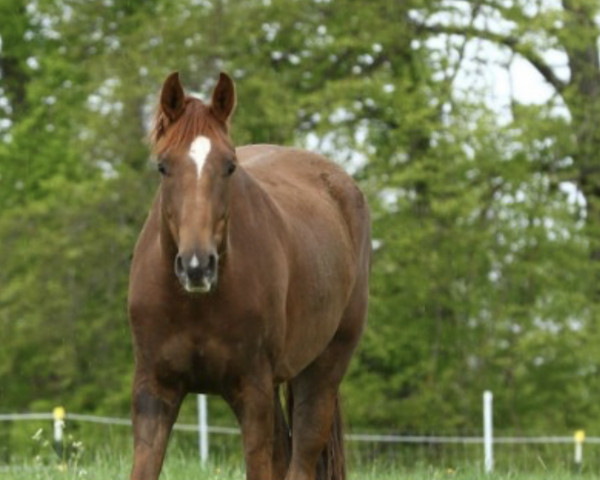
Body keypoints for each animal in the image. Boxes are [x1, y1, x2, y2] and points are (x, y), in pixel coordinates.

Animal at [129, 72, 368, 480]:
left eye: (229, 166)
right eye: (163, 166)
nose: (197, 266)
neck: (194, 306)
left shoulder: (252, 393)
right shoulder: (154, 391)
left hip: (323, 369)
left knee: (302, 454)